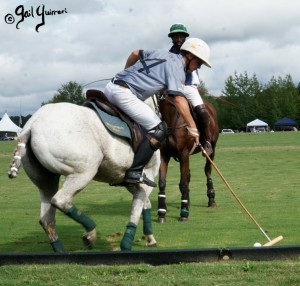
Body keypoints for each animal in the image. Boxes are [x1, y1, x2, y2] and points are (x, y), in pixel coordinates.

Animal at [7, 99, 159, 252]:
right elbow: (138, 206)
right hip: (84, 172)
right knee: (61, 201)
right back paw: (90, 234)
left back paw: (62, 250)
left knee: (46, 219)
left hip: (47, 181)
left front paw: (150, 238)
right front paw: (127, 244)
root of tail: (31, 126)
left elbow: (145, 203)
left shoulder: (130, 181)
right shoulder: (147, 176)